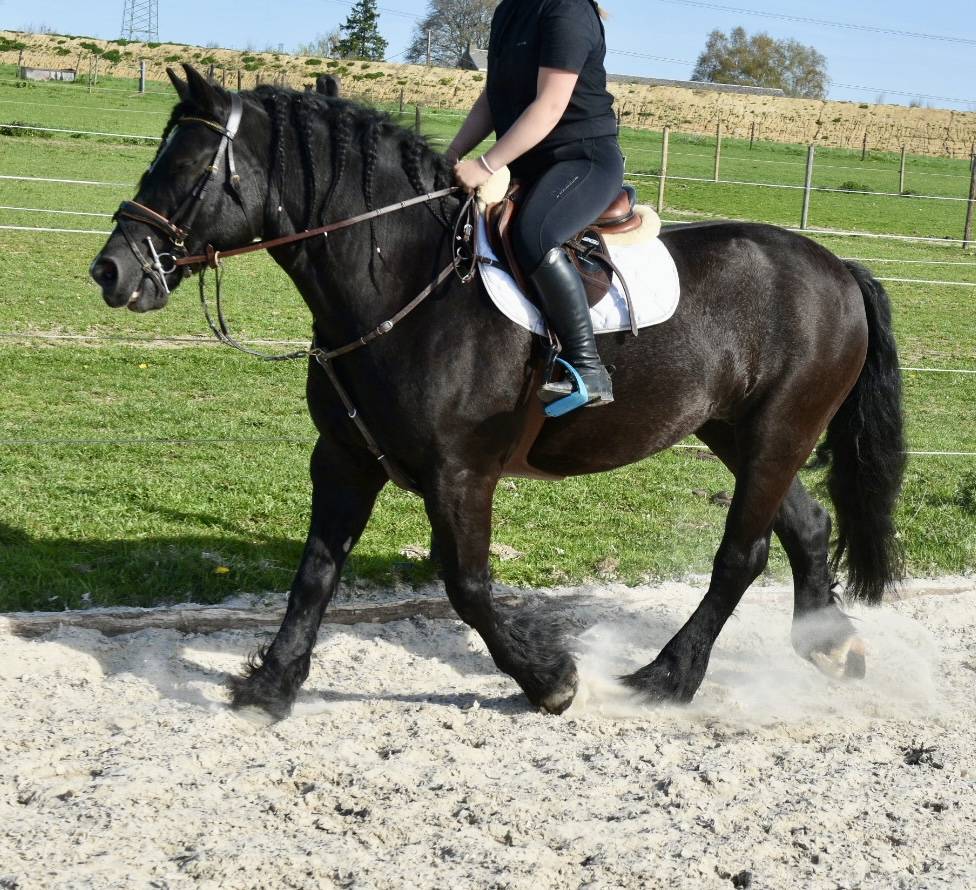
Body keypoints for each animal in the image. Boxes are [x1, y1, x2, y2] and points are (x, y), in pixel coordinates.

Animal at [90, 66, 905, 720]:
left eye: (189, 165)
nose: (111, 270)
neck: (406, 283)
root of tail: (838, 268)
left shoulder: (460, 473)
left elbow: (469, 585)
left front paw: (551, 681)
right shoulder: (344, 459)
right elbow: (314, 573)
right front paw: (271, 686)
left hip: (777, 431)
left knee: (743, 554)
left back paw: (667, 678)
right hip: (740, 432)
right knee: (806, 526)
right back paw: (830, 647)